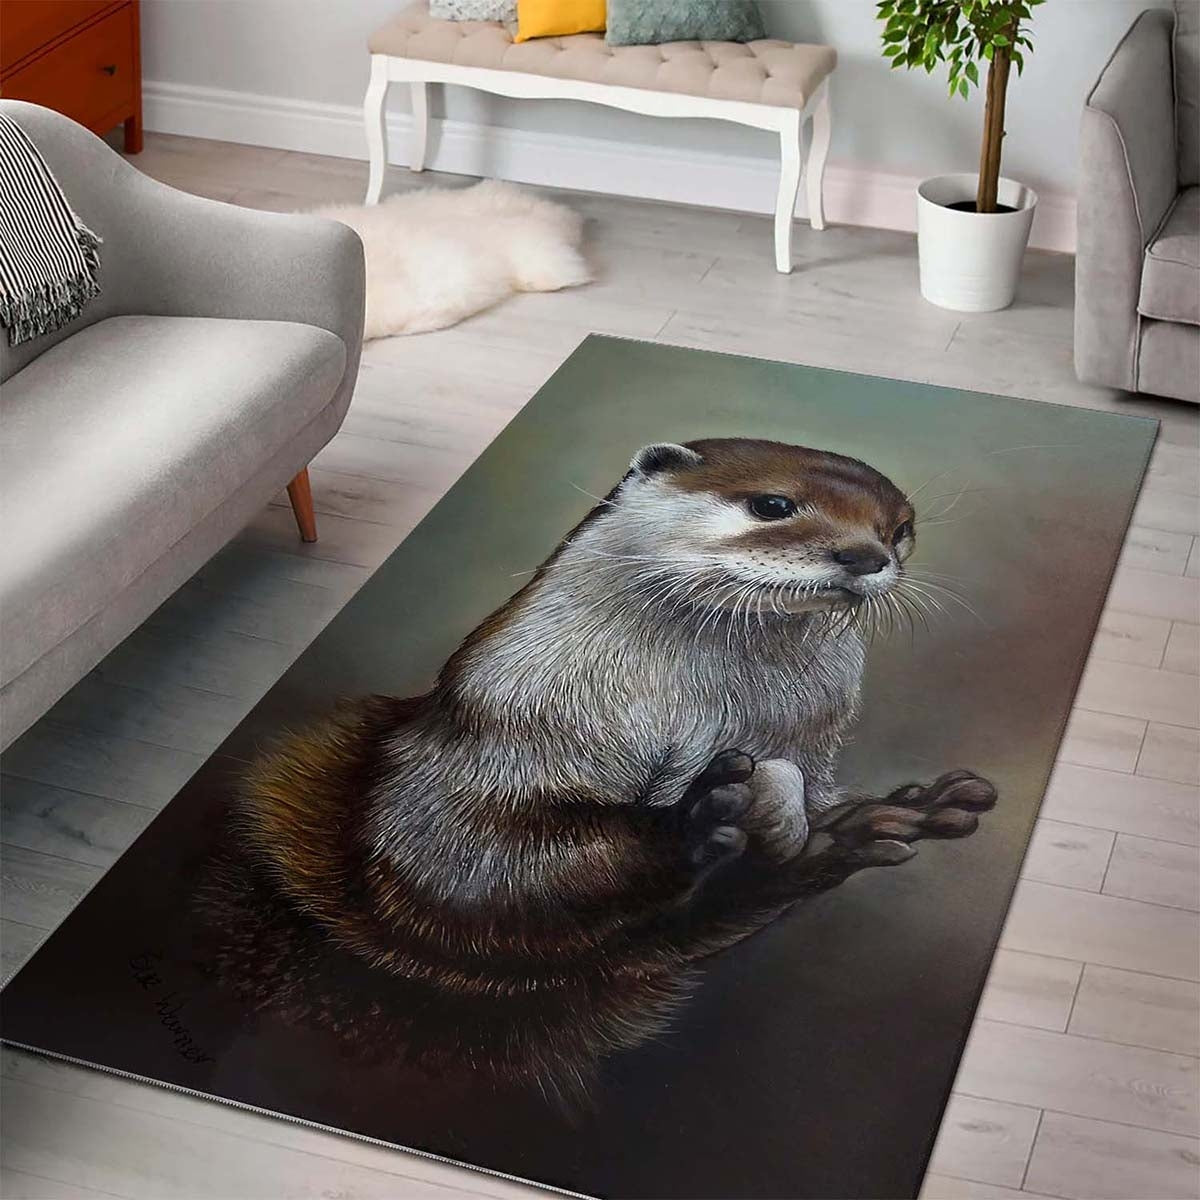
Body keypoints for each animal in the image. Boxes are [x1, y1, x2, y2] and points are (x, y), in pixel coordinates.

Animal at [207, 437, 995, 1101]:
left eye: (900, 529)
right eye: (773, 505)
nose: (867, 556)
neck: (699, 713)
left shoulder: (806, 746)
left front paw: (855, 824)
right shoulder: (479, 745)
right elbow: (472, 876)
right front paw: (695, 820)